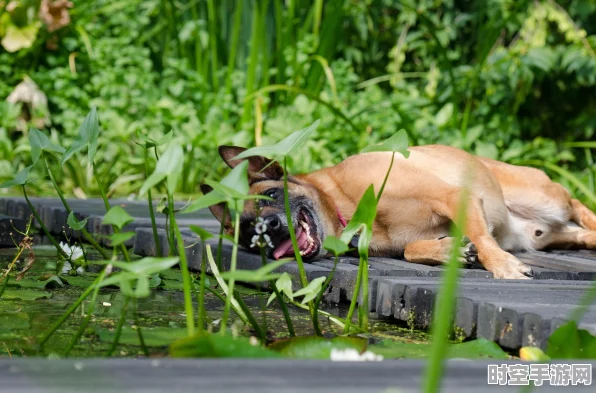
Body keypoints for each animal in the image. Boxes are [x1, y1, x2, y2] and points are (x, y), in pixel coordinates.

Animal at [205, 145, 596, 278]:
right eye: (248, 233)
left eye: (271, 194)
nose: (270, 228)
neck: (346, 205)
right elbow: (410, 249)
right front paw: (447, 250)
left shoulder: (454, 196)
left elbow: (483, 239)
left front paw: (501, 266)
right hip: (544, 236)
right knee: (579, 234)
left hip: (545, 198)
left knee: (579, 205)